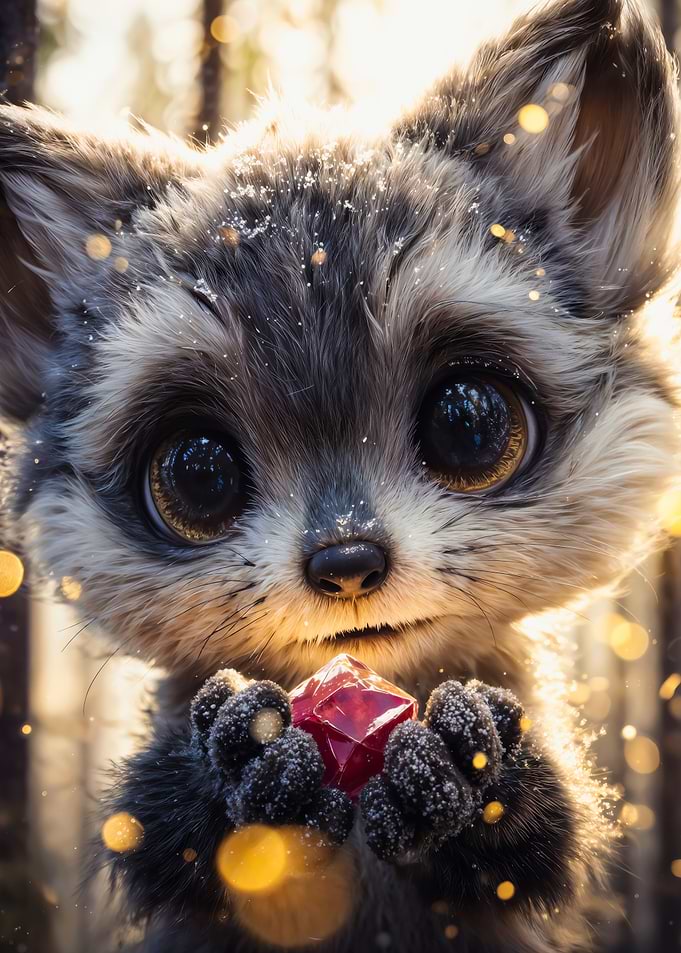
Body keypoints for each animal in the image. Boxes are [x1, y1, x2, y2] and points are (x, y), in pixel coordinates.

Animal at [1, 0, 680, 950]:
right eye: (197, 474)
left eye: (468, 424)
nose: (347, 561)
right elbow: (156, 834)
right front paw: (244, 761)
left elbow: (541, 846)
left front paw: (465, 771)